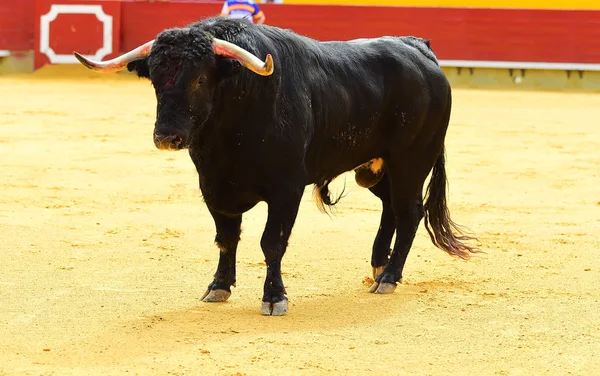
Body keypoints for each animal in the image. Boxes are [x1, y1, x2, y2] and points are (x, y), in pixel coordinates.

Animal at [75, 18, 478, 318]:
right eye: (156, 81)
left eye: (200, 78)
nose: (167, 137)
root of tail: (419, 49)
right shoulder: (214, 187)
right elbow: (226, 238)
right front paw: (218, 287)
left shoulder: (287, 189)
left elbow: (272, 242)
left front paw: (274, 298)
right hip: (375, 167)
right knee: (391, 207)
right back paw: (379, 268)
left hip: (412, 159)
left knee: (410, 212)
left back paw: (390, 277)